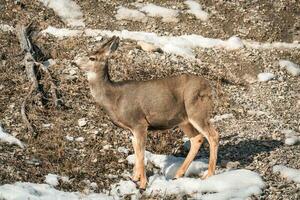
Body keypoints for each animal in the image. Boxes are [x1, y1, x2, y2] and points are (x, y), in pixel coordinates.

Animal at [74, 36, 220, 191]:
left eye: (92, 57)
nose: (74, 62)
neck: (114, 98)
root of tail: (209, 87)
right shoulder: (132, 129)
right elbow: (136, 152)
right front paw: (134, 178)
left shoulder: (139, 123)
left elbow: (141, 154)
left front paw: (143, 184)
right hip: (183, 120)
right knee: (197, 138)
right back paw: (178, 174)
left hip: (197, 111)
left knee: (213, 135)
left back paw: (208, 174)